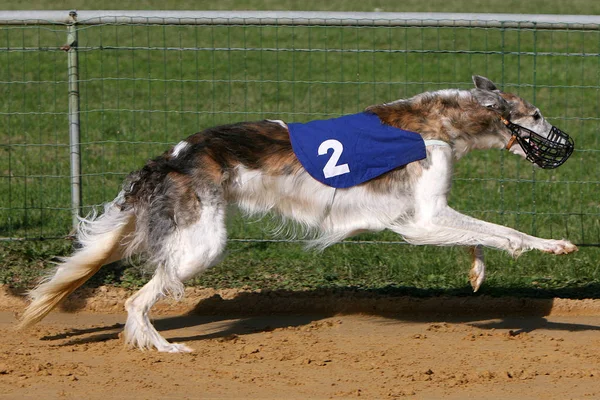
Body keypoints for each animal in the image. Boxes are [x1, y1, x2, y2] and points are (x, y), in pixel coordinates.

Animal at [21, 76, 580, 352]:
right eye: (535, 115)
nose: (569, 145)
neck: (439, 123)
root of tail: (173, 155)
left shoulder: (428, 212)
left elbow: (481, 235)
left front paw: (479, 271)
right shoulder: (420, 219)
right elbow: (507, 231)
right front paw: (552, 246)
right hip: (203, 245)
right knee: (137, 300)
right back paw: (162, 348)